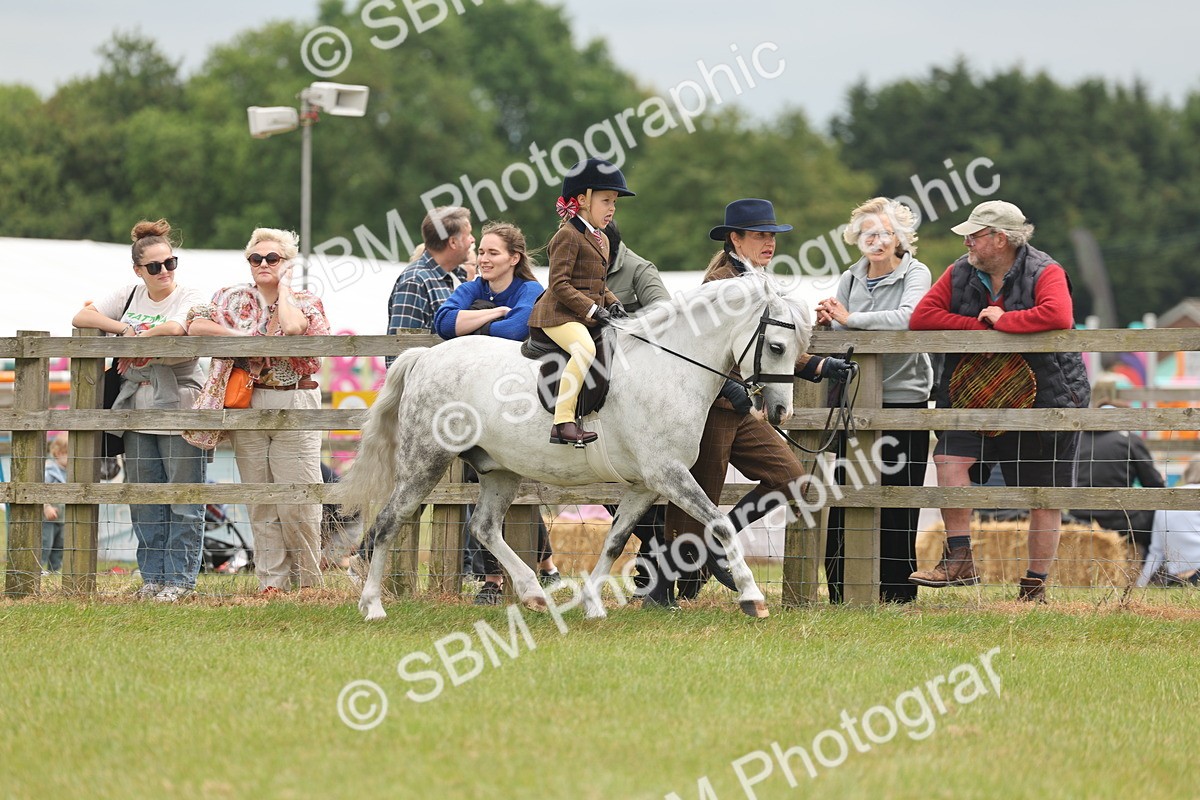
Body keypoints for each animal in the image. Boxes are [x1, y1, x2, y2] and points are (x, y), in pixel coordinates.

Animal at [334, 274, 812, 621]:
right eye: (776, 346)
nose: (780, 411)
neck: (668, 368)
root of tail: (425, 357)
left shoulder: (645, 484)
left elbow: (616, 540)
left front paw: (593, 604)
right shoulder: (669, 474)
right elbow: (720, 524)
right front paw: (752, 597)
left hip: (499, 470)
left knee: (485, 527)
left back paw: (534, 595)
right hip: (425, 461)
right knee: (388, 522)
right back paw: (373, 606)